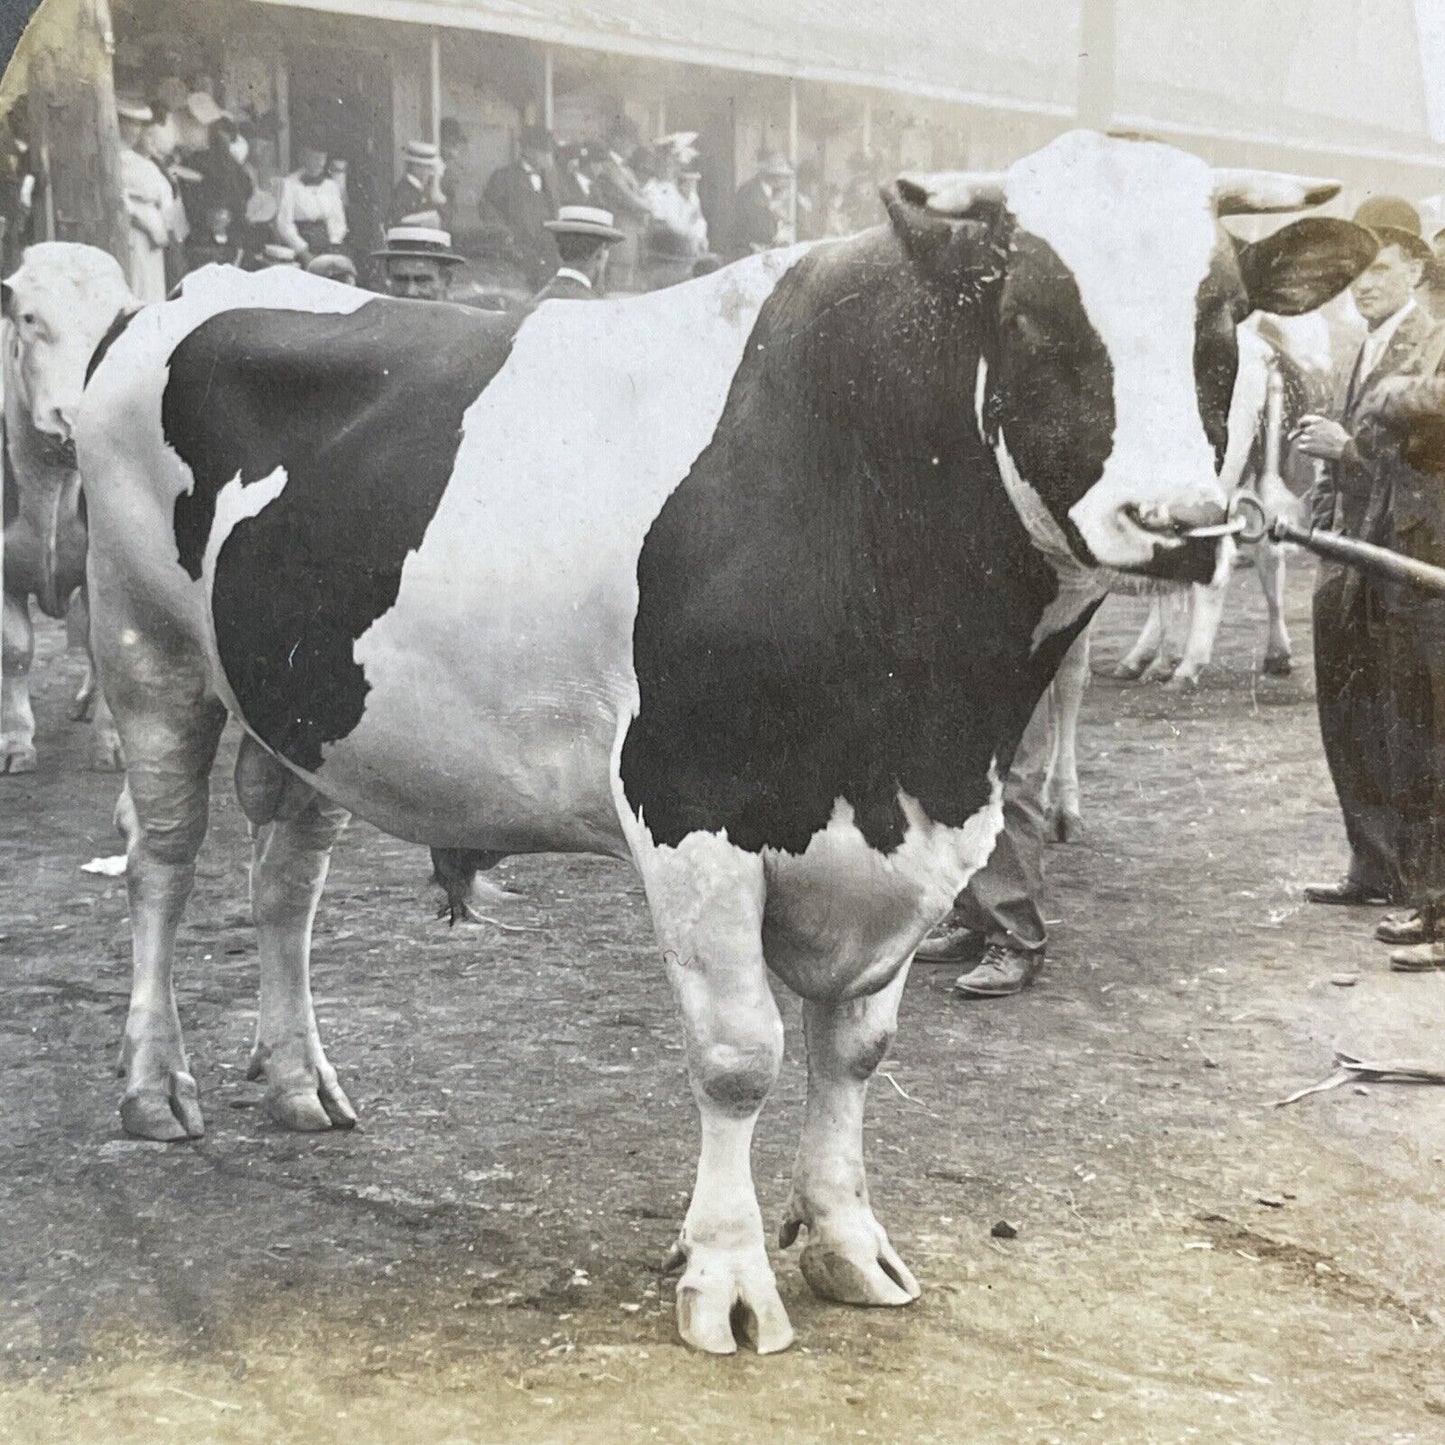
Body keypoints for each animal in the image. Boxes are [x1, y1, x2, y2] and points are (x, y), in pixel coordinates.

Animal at [76, 135, 1375, 1352]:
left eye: (1222, 320)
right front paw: (729, 1275)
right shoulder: (689, 802)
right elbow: (740, 1051)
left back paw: (298, 1077)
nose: (1177, 521)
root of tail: (183, 293)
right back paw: (150, 1083)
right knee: (165, 861)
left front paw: (847, 1242)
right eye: (1030, 314)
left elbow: (855, 1049)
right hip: (145, 652)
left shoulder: (915, 830)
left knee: (285, 878)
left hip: (305, 702)